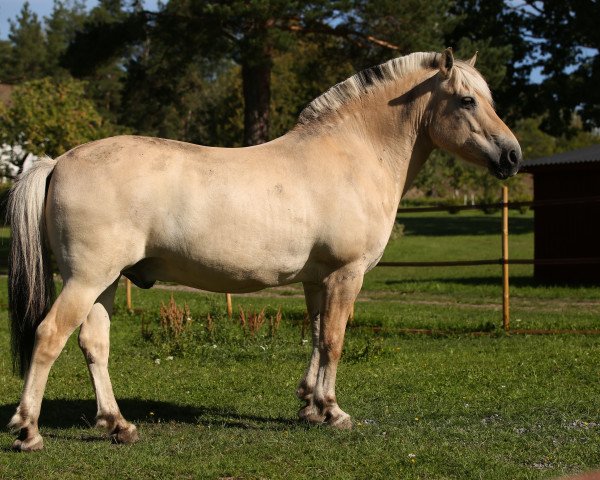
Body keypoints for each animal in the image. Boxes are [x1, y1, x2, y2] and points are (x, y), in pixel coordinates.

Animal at [4, 48, 520, 450]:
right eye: (467, 100)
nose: (512, 156)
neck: (353, 154)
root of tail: (57, 161)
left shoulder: (317, 279)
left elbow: (317, 336)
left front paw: (310, 406)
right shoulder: (345, 274)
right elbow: (335, 340)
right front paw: (333, 411)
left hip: (105, 282)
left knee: (94, 344)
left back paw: (118, 425)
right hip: (86, 279)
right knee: (49, 336)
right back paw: (28, 430)